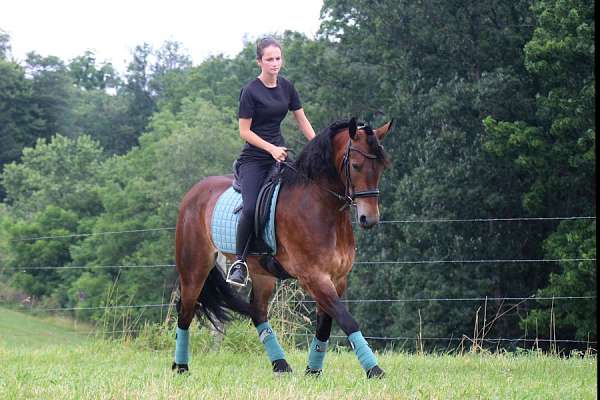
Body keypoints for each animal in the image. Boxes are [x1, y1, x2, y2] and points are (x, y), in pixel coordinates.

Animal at [172, 116, 394, 378]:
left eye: (381, 167)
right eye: (356, 166)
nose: (369, 219)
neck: (321, 207)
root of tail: (194, 192)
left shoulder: (337, 278)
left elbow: (325, 325)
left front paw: (313, 371)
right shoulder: (314, 277)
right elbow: (347, 320)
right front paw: (374, 370)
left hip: (261, 273)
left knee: (257, 311)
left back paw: (281, 365)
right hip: (194, 267)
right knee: (185, 311)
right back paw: (181, 367)